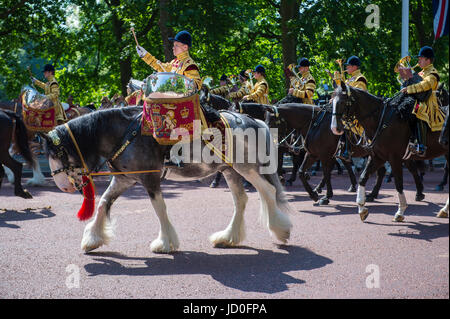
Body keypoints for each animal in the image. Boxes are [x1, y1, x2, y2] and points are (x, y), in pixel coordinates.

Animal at [41, 106, 292, 254]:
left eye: (56, 152)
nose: (62, 186)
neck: (126, 133)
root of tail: (256, 122)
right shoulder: (124, 180)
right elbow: (104, 203)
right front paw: (93, 238)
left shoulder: (150, 179)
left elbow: (159, 208)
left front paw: (164, 243)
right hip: (230, 171)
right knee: (241, 200)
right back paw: (228, 237)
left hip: (246, 169)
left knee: (267, 192)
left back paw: (280, 230)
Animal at [330, 82, 446, 222]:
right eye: (331, 101)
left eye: (343, 101)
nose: (335, 128)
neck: (380, 120)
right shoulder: (377, 157)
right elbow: (363, 178)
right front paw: (362, 209)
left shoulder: (395, 158)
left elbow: (399, 183)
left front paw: (400, 212)